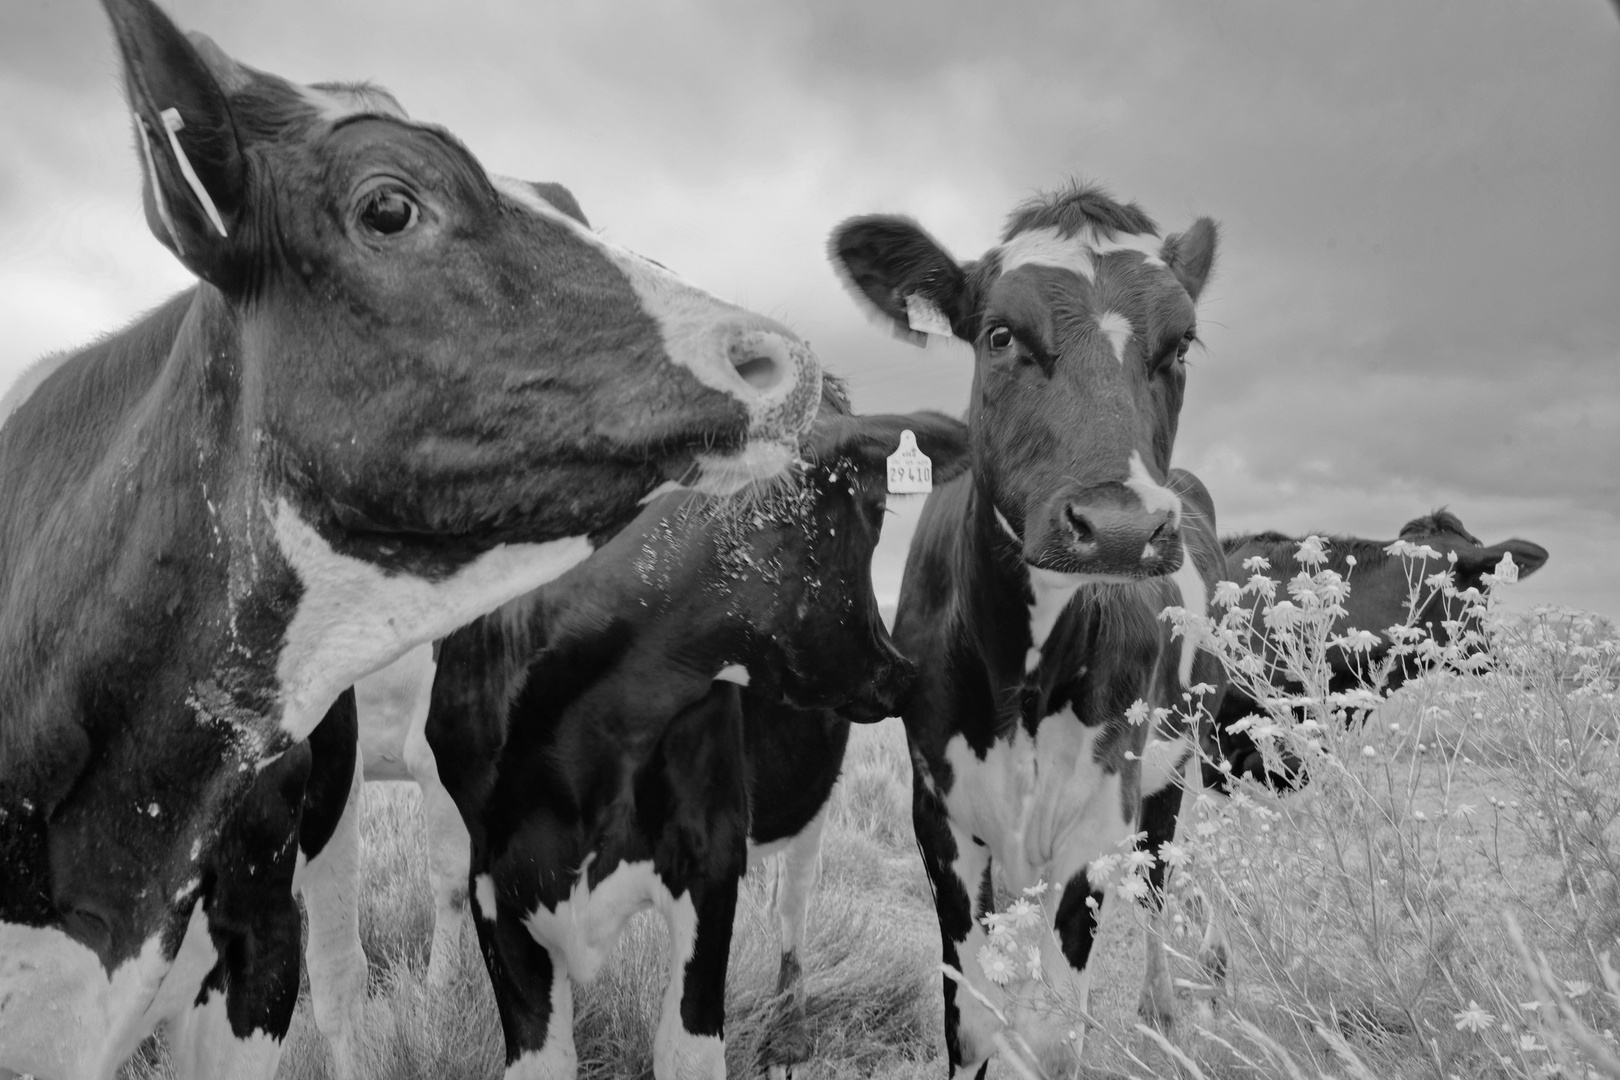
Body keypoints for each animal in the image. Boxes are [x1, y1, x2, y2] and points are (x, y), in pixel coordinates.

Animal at [829, 177, 1218, 1075]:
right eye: (1000, 334)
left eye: (1181, 346)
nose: (1121, 527)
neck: (1023, 679)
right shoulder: (940, 816)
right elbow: (970, 1017)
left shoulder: (1097, 819)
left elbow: (1052, 1035)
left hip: (1174, 768)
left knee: (1158, 887)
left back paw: (1161, 1009)